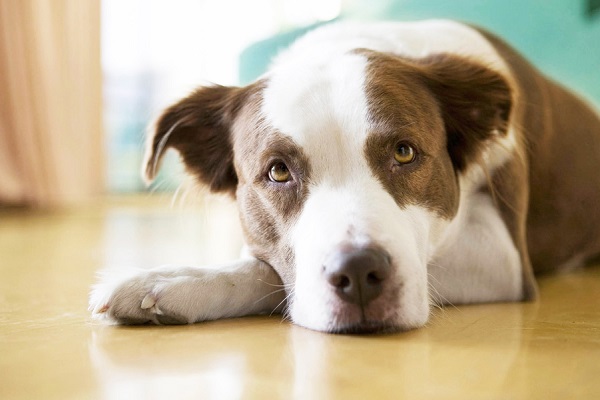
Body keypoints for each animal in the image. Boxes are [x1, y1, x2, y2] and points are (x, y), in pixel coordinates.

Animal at [89, 20, 600, 334]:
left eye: (404, 152)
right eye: (278, 171)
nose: (358, 272)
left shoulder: (505, 259)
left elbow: (268, 273)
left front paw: (172, 283)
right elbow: (269, 265)